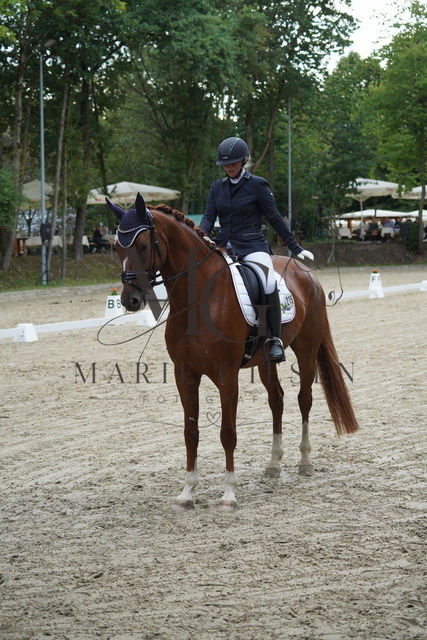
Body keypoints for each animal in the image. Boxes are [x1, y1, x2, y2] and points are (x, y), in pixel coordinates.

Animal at [106, 193, 359, 510]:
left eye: (141, 245)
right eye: (117, 247)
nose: (130, 300)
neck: (198, 299)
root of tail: (306, 273)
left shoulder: (226, 374)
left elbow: (227, 432)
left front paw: (228, 494)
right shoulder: (184, 373)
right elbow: (190, 432)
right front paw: (187, 492)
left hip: (307, 348)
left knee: (305, 399)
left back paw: (305, 461)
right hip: (266, 361)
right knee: (277, 400)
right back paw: (274, 464)